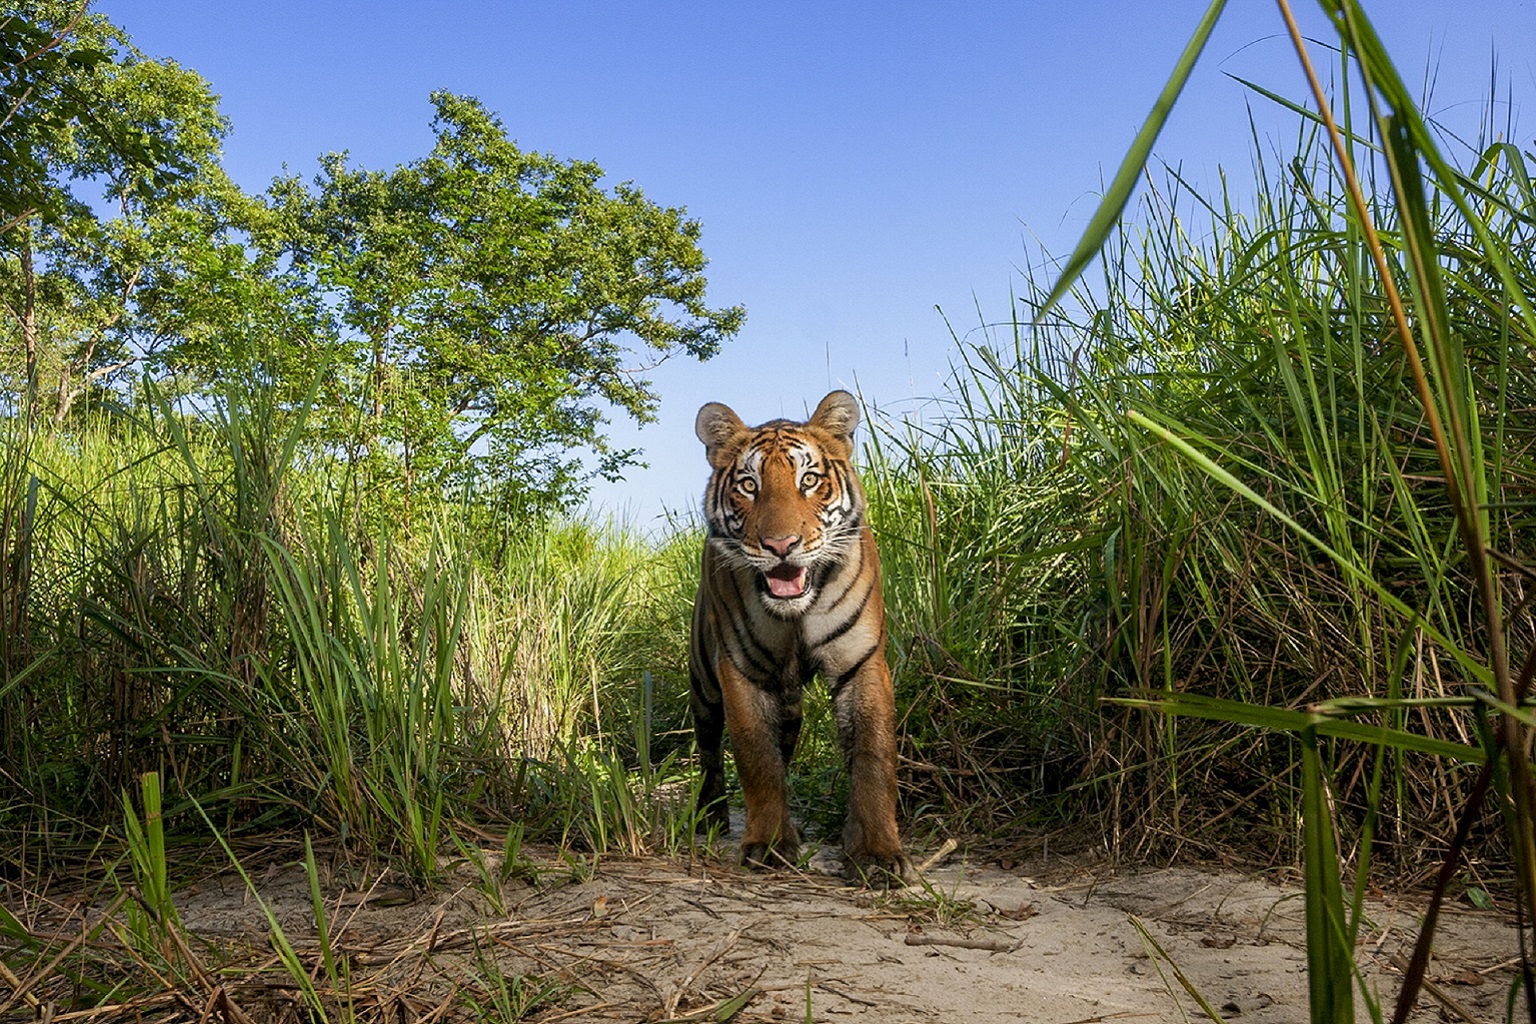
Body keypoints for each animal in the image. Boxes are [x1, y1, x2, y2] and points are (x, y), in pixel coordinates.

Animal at [689, 389, 912, 885]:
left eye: (809, 480)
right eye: (748, 485)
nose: (780, 545)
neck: (796, 614)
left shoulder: (861, 663)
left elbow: (873, 759)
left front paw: (877, 852)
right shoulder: (741, 673)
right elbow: (757, 759)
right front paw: (770, 844)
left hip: (788, 704)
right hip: (705, 685)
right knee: (710, 751)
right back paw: (709, 817)